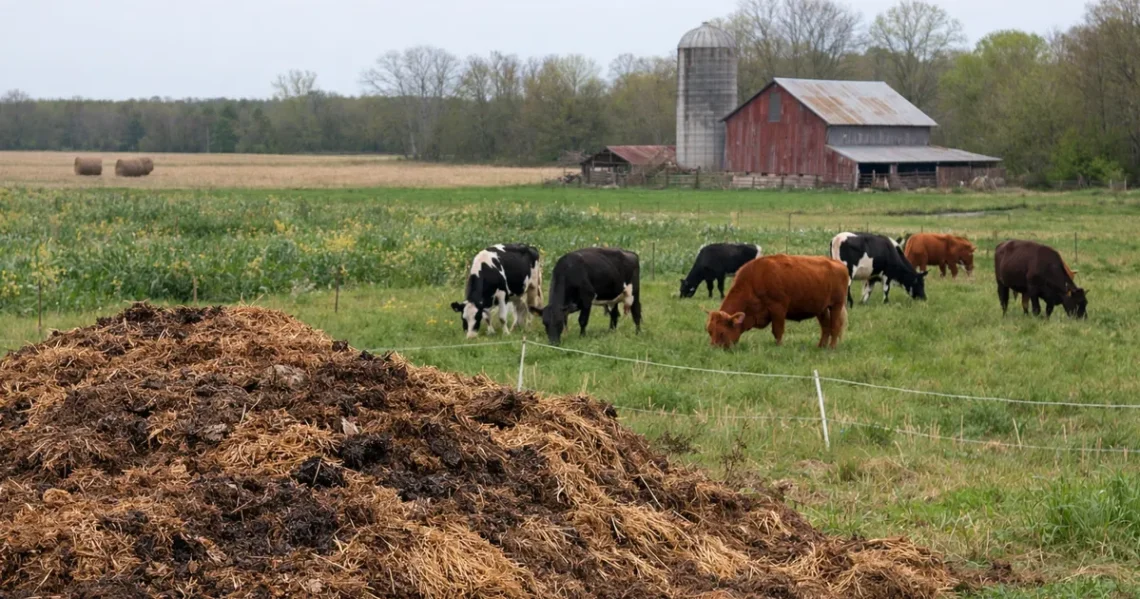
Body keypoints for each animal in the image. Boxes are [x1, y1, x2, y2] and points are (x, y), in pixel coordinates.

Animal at [705, 254, 848, 349]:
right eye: (710, 331)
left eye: (722, 332)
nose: (714, 348)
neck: (754, 281)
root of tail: (840, 265)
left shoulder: (778, 310)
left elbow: (777, 331)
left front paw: (779, 346)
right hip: (821, 310)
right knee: (826, 327)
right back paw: (820, 346)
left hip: (836, 306)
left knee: (835, 326)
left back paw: (831, 348)